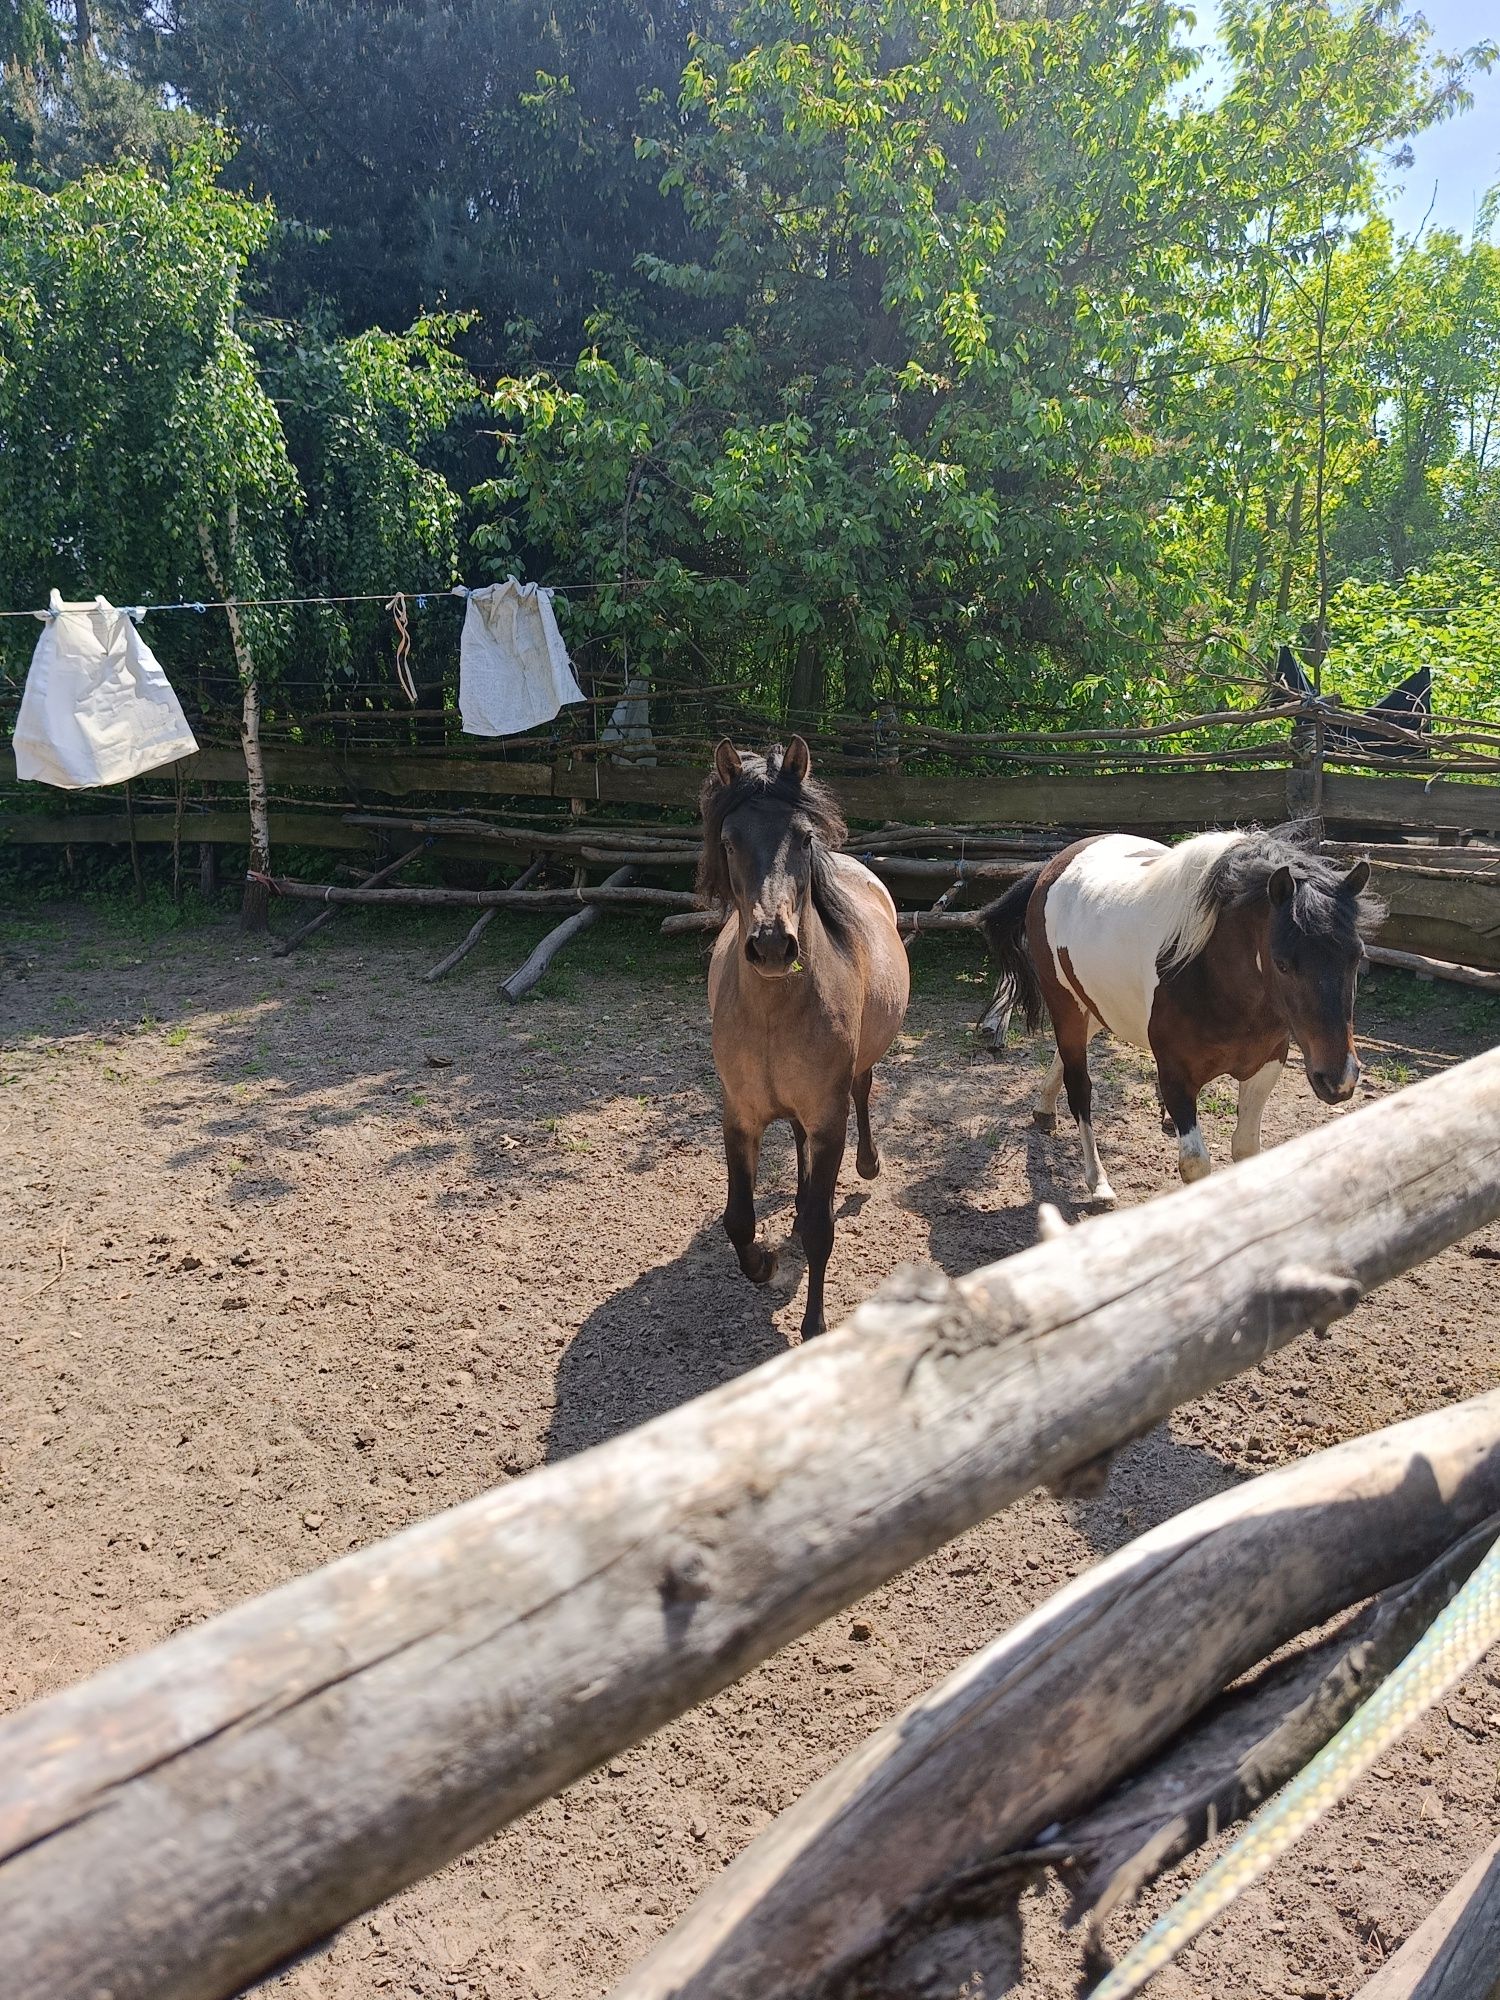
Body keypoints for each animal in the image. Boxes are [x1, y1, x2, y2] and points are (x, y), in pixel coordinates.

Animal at [700, 740, 912, 1344]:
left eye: (803, 838)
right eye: (729, 840)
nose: (772, 944)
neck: (773, 1014)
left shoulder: (828, 1117)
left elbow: (821, 1228)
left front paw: (814, 1324)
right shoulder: (740, 1115)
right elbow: (738, 1219)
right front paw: (765, 1261)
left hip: (854, 1075)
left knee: (863, 1093)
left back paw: (867, 1165)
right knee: (795, 1142)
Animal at [980, 824, 1384, 1200]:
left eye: (1357, 957)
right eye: (1282, 964)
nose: (1338, 1079)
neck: (1214, 977)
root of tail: (1052, 866)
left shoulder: (1266, 1066)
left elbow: (1246, 1148)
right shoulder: (1176, 1076)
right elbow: (1195, 1164)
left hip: (1096, 1004)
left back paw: (1044, 1108)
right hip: (1067, 1006)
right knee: (1079, 1087)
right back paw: (1098, 1182)